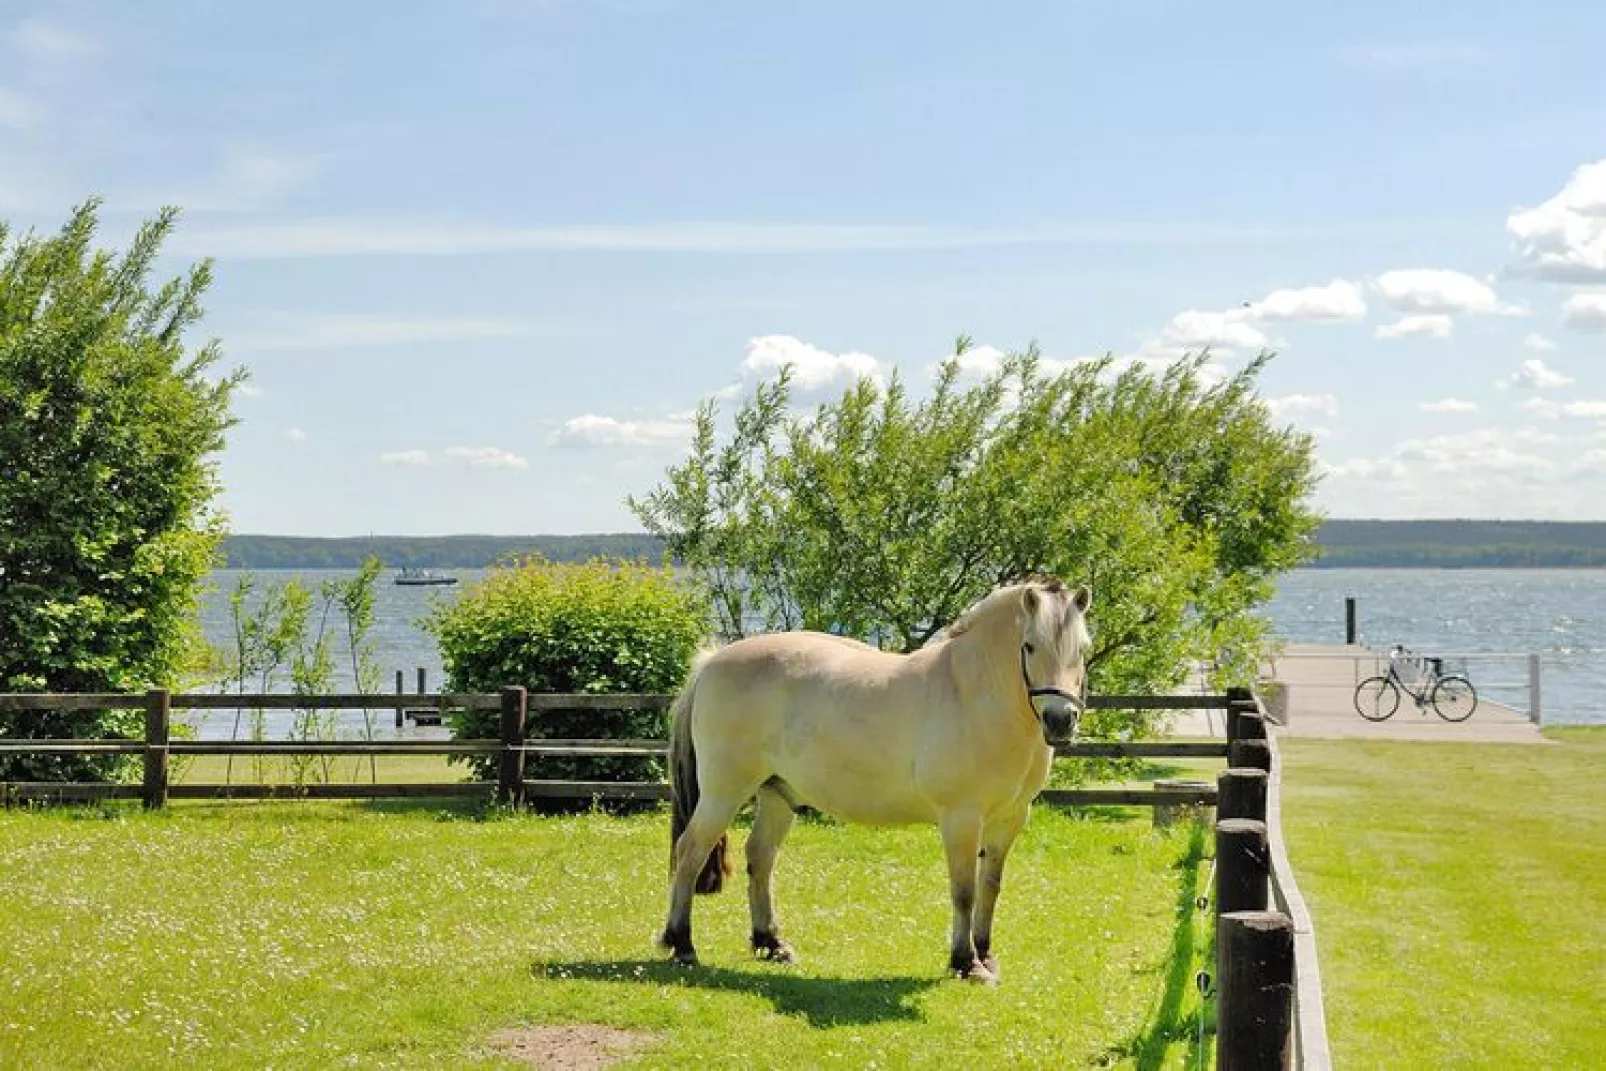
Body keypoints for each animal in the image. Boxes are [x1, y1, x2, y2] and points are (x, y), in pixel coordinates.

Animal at [652, 574, 1092, 982]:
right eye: (1030, 645)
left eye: (1083, 649)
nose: (1060, 721)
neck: (973, 694)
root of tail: (712, 662)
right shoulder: (962, 818)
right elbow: (964, 891)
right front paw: (965, 963)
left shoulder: (1010, 818)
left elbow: (990, 887)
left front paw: (985, 956)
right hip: (723, 793)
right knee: (690, 853)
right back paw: (682, 943)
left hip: (777, 796)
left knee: (760, 858)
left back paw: (771, 943)